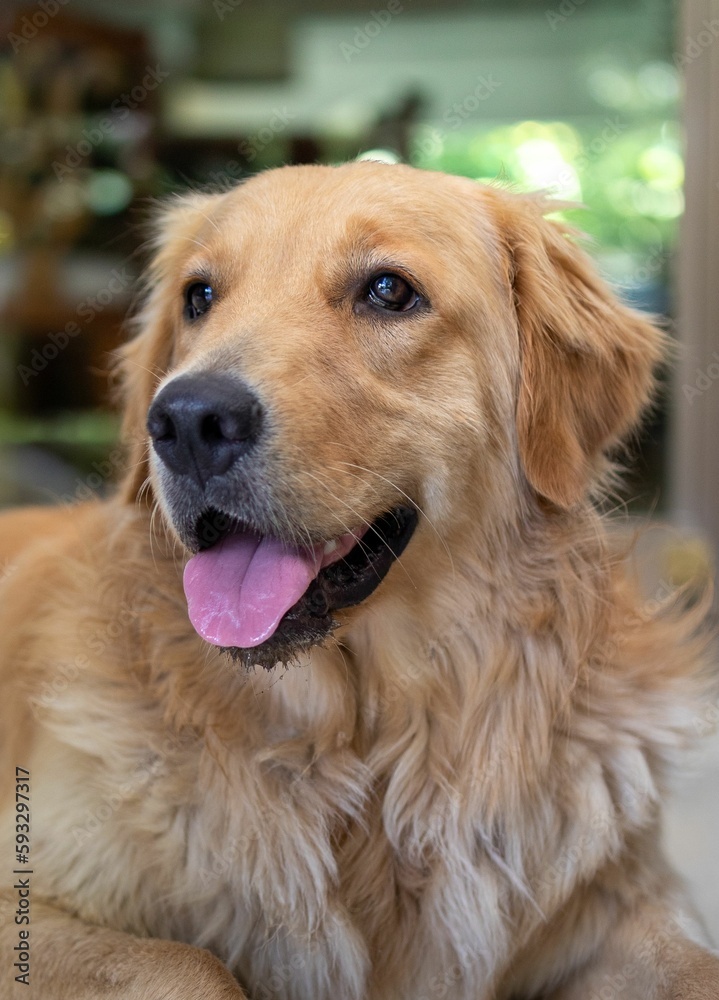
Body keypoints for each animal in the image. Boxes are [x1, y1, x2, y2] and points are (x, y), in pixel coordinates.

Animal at [1, 160, 719, 996]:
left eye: (387, 290)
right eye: (198, 296)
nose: (185, 421)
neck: (369, 744)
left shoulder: (621, 905)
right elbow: (192, 963)